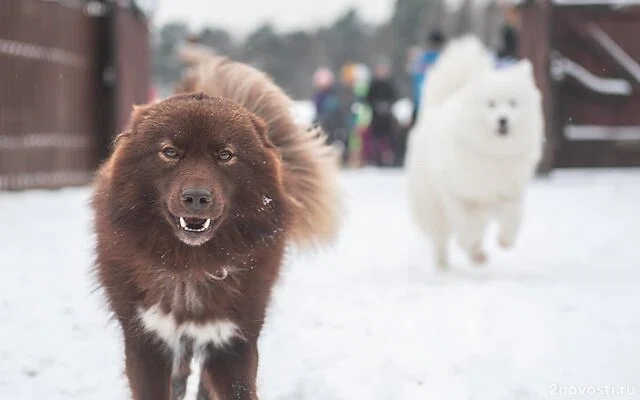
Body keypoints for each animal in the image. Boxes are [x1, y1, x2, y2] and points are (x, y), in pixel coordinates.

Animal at [91, 57, 340, 398]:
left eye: (225, 155)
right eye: (170, 152)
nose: (196, 197)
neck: (189, 265)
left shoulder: (232, 341)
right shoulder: (145, 339)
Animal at [408, 36, 544, 268]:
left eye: (513, 103)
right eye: (491, 104)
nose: (503, 120)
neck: (493, 155)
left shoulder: (509, 193)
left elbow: (512, 216)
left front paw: (505, 240)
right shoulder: (457, 195)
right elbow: (467, 227)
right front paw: (471, 247)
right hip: (433, 206)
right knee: (441, 238)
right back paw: (445, 265)